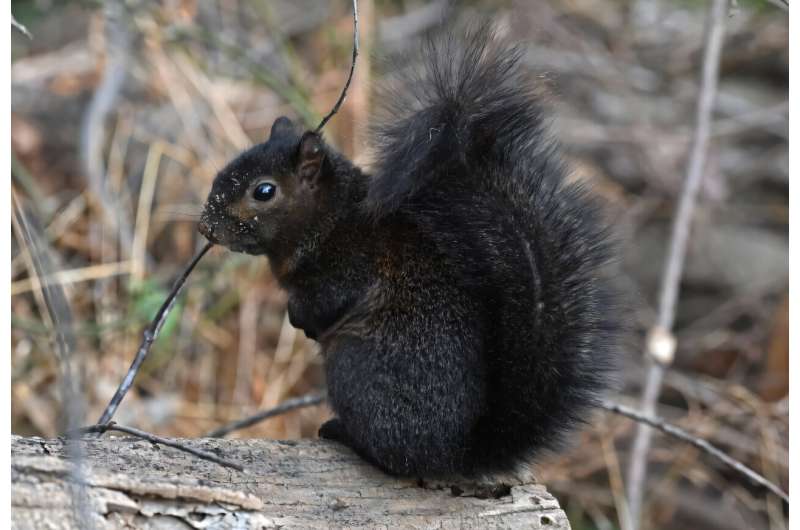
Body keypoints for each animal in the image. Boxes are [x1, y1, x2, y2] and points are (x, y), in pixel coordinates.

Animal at [198, 26, 620, 476]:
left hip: (353, 365)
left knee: (391, 457)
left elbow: (324, 302)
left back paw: (342, 433)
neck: (328, 219)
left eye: (264, 191)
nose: (204, 226)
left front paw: (301, 319)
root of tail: (455, 455)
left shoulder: (346, 267)